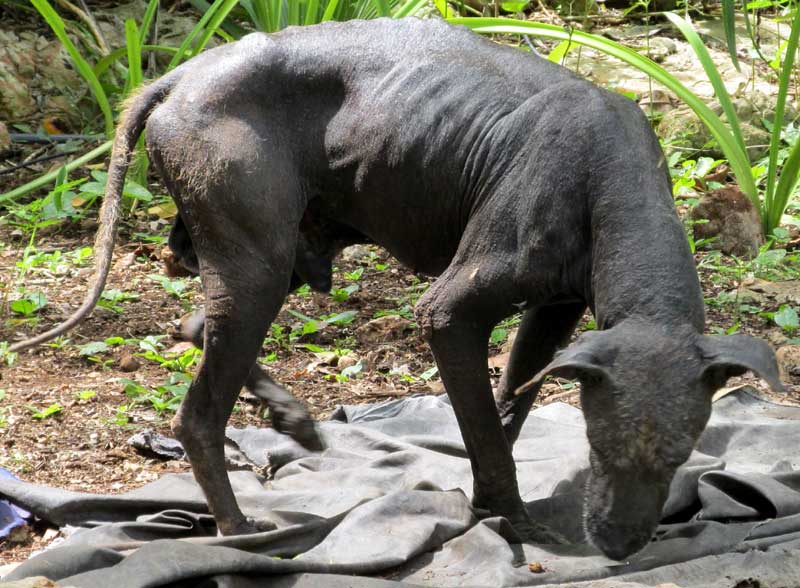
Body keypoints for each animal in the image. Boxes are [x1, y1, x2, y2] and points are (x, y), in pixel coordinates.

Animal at [9, 19, 780, 560]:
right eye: (595, 447)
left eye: (681, 457)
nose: (619, 548)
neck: (618, 183)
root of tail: (180, 74)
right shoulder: (450, 313)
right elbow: (484, 426)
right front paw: (511, 519)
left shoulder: (555, 317)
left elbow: (505, 410)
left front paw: (495, 497)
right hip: (255, 261)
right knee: (199, 412)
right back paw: (237, 525)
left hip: (266, 255)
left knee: (198, 325)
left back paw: (291, 417)